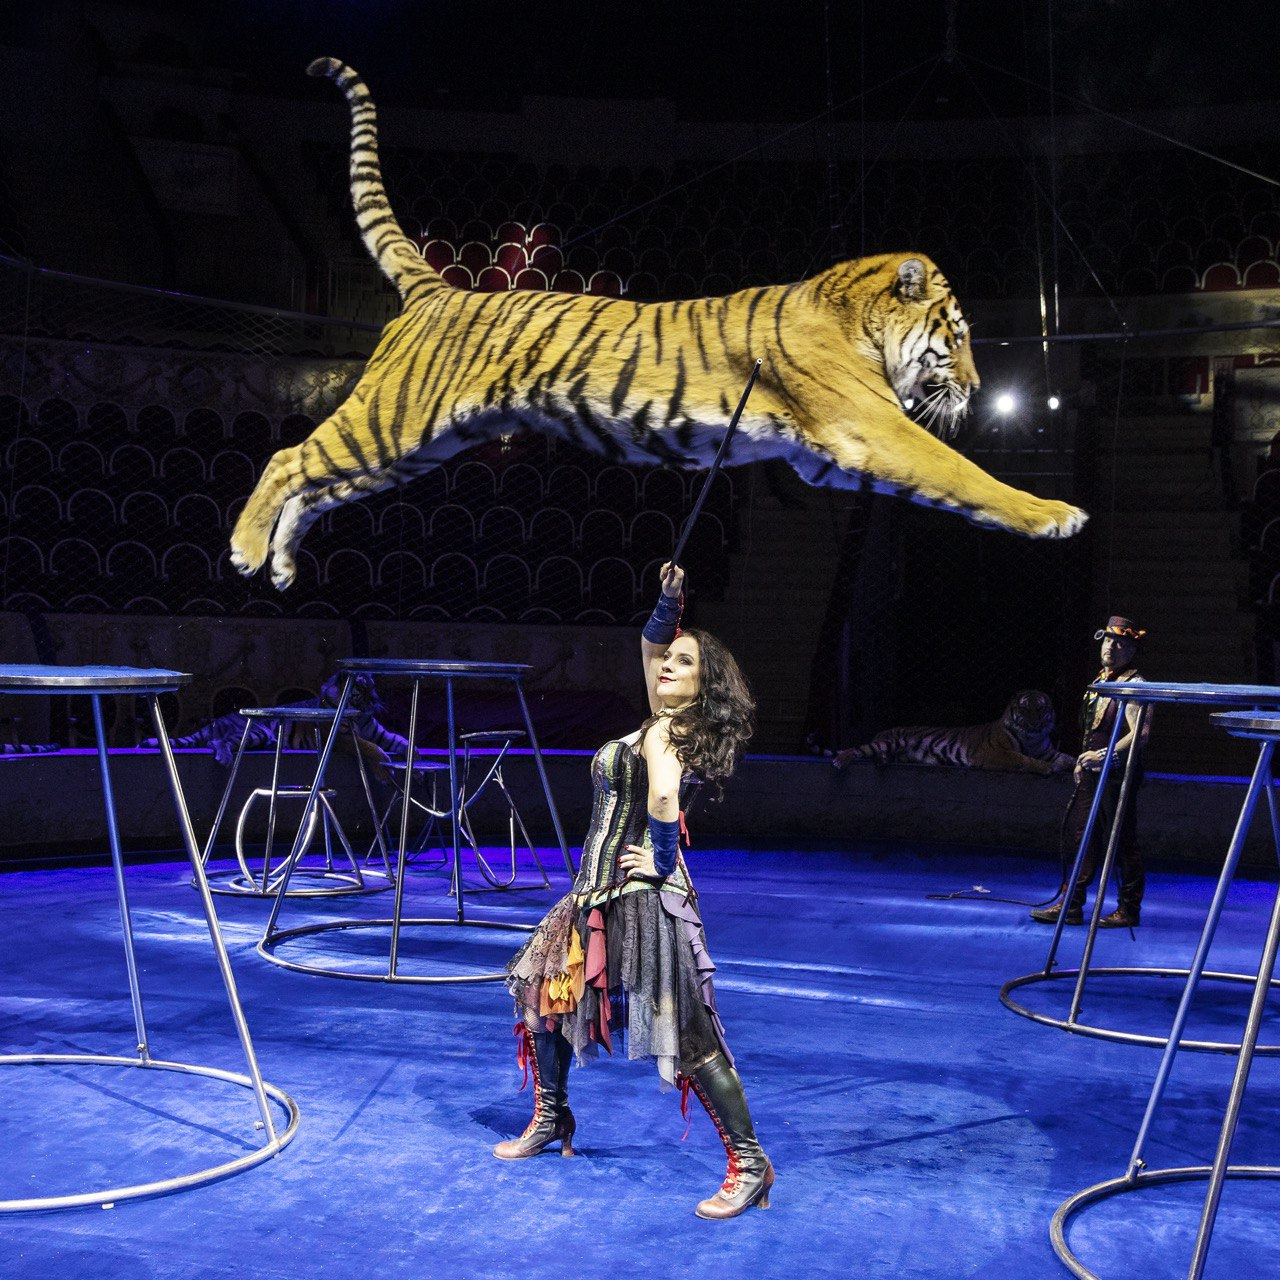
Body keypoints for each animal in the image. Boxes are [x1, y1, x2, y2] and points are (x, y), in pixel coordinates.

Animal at [230, 57, 1087, 591]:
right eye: (959, 334)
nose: (975, 385)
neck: (859, 322)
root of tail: (442, 289)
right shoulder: (871, 428)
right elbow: (962, 473)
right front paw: (1056, 515)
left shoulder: (832, 457)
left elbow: (945, 489)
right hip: (391, 418)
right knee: (287, 458)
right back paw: (244, 549)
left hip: (421, 447)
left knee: (321, 484)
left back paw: (282, 563)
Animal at [832, 689, 1074, 775]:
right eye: (1025, 709)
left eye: (1040, 708)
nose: (1035, 723)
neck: (1033, 739)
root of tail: (882, 732)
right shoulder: (994, 753)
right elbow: (1022, 759)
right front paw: (1047, 768)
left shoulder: (1047, 751)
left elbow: (1065, 757)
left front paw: (1074, 764)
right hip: (887, 742)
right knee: (858, 749)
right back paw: (840, 760)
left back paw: (883, 760)